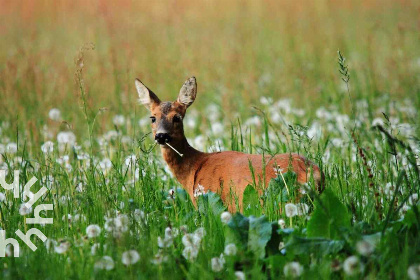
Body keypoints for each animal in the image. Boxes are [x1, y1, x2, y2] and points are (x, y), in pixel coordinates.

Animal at [135, 75, 324, 211]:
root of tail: (313, 172)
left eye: (177, 117)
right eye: (153, 118)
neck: (193, 168)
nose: (161, 136)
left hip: (285, 200)